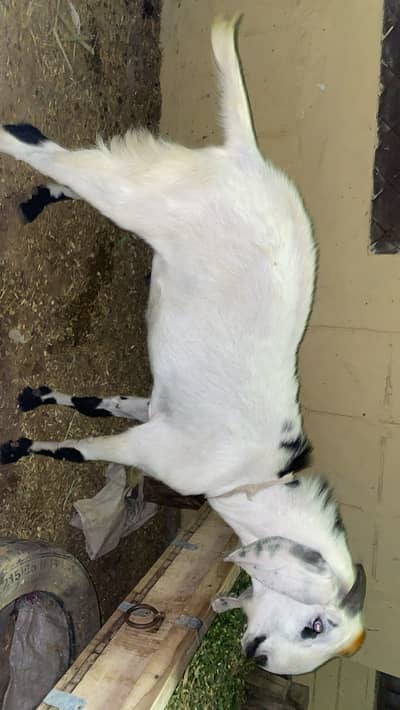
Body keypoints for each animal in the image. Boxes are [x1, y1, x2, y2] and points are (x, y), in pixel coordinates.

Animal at [0, 15, 366, 674]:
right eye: (315, 624)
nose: (254, 653)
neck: (250, 478)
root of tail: (248, 157)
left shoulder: (153, 408)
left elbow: (95, 405)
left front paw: (36, 398)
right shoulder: (150, 447)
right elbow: (78, 452)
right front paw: (14, 449)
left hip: (153, 187)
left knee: (75, 169)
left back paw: (38, 201)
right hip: (139, 196)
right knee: (40, 141)